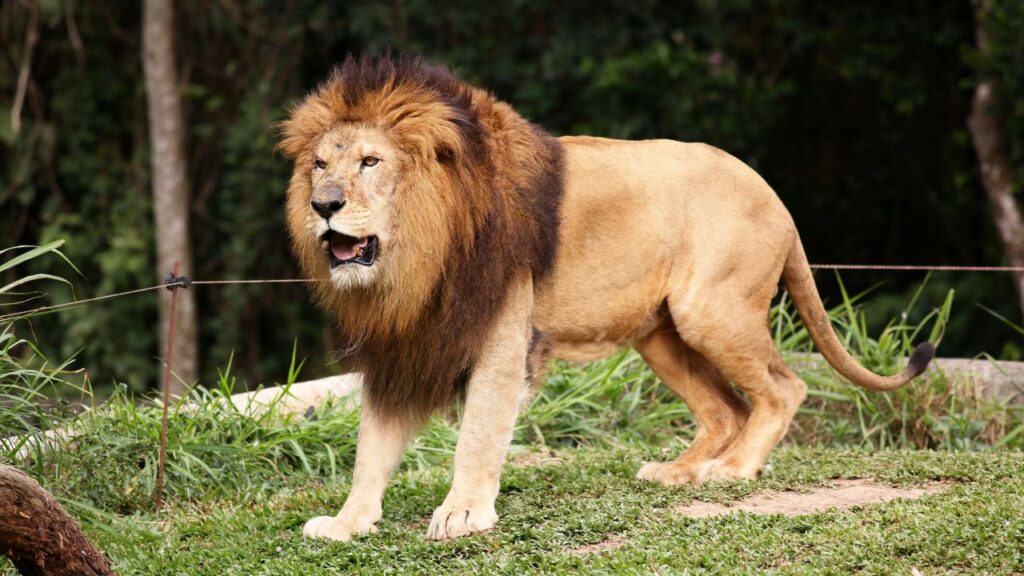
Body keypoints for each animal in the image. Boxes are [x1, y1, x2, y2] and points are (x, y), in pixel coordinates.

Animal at [279, 55, 935, 542]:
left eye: (371, 162)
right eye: (320, 165)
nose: (324, 204)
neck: (417, 257)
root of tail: (775, 196)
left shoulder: (501, 337)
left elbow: (479, 433)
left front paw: (462, 512)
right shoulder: (401, 345)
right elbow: (372, 446)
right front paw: (346, 523)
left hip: (710, 311)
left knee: (783, 388)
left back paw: (731, 470)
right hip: (661, 334)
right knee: (727, 408)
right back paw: (677, 473)